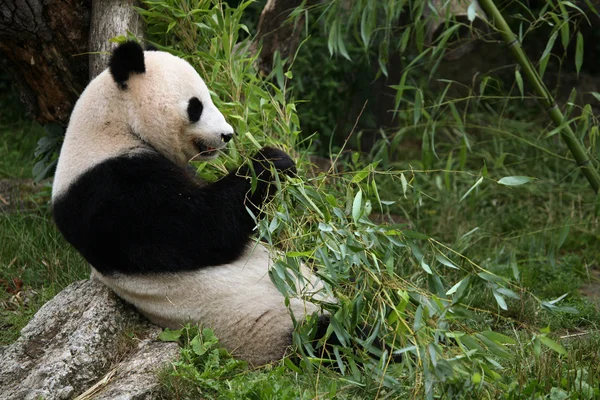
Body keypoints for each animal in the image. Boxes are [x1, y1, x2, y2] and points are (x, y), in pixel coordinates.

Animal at [51, 41, 324, 366]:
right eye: (196, 106)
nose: (228, 134)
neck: (112, 126)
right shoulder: (111, 192)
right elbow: (203, 230)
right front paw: (272, 161)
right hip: (282, 326)